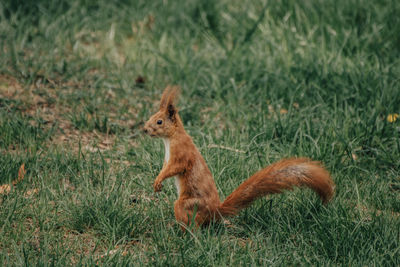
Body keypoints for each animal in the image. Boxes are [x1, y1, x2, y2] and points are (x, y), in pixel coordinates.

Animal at [144, 87, 334, 228]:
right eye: (151, 117)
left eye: (159, 121)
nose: (145, 129)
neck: (170, 139)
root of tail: (215, 212)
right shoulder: (168, 158)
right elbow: (165, 167)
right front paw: (157, 181)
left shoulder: (182, 153)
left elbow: (176, 167)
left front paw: (159, 180)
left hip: (191, 204)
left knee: (192, 222)